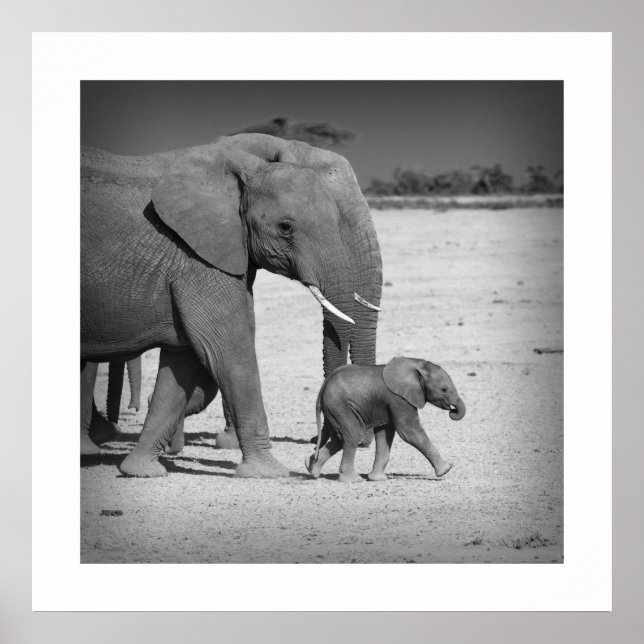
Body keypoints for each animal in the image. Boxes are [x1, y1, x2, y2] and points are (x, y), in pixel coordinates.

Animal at [81, 133, 382, 478]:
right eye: (286, 228)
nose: (313, 454)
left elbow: (186, 359)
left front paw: (142, 470)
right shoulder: (196, 256)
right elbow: (227, 350)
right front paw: (269, 472)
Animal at [305, 357, 466, 483]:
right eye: (444, 389)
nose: (452, 411)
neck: (416, 364)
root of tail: (323, 386)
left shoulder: (386, 404)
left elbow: (385, 435)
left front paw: (378, 479)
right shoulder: (398, 399)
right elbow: (409, 431)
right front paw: (446, 469)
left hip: (334, 410)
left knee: (339, 439)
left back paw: (311, 468)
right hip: (341, 407)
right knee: (352, 436)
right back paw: (353, 480)